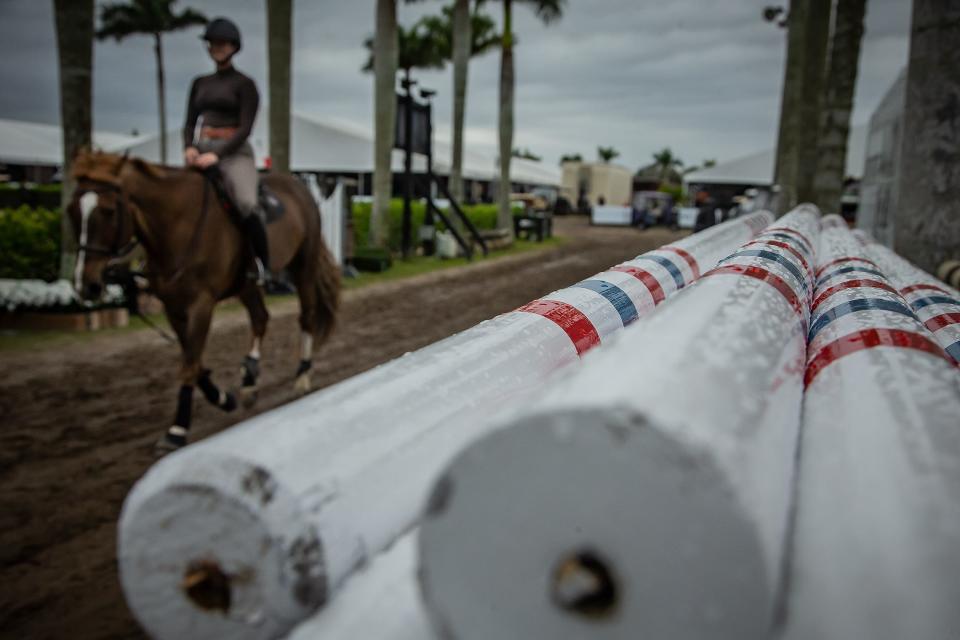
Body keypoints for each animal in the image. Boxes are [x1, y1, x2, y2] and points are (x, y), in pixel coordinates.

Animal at [67, 150, 340, 450]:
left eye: (108, 211)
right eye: (71, 211)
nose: (85, 285)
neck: (177, 225)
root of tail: (299, 186)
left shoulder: (202, 303)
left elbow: (190, 362)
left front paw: (177, 429)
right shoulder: (173, 307)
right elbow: (193, 360)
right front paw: (222, 398)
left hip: (303, 265)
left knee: (307, 315)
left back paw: (302, 376)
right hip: (246, 284)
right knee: (260, 318)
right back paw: (249, 379)